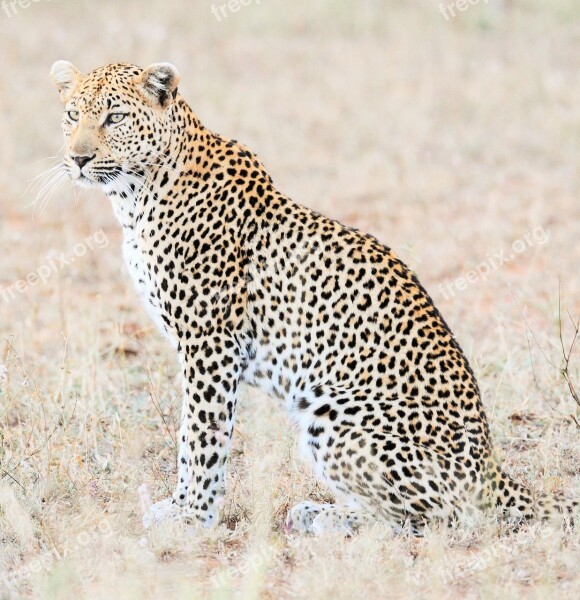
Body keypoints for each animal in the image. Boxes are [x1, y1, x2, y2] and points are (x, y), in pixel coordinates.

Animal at [49, 61, 576, 536]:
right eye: (72, 115)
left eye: (115, 117)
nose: (77, 158)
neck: (135, 195)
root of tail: (494, 471)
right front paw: (188, 510)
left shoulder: (210, 341)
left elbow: (199, 435)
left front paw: (191, 515)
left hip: (334, 415)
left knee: (443, 518)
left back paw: (329, 517)